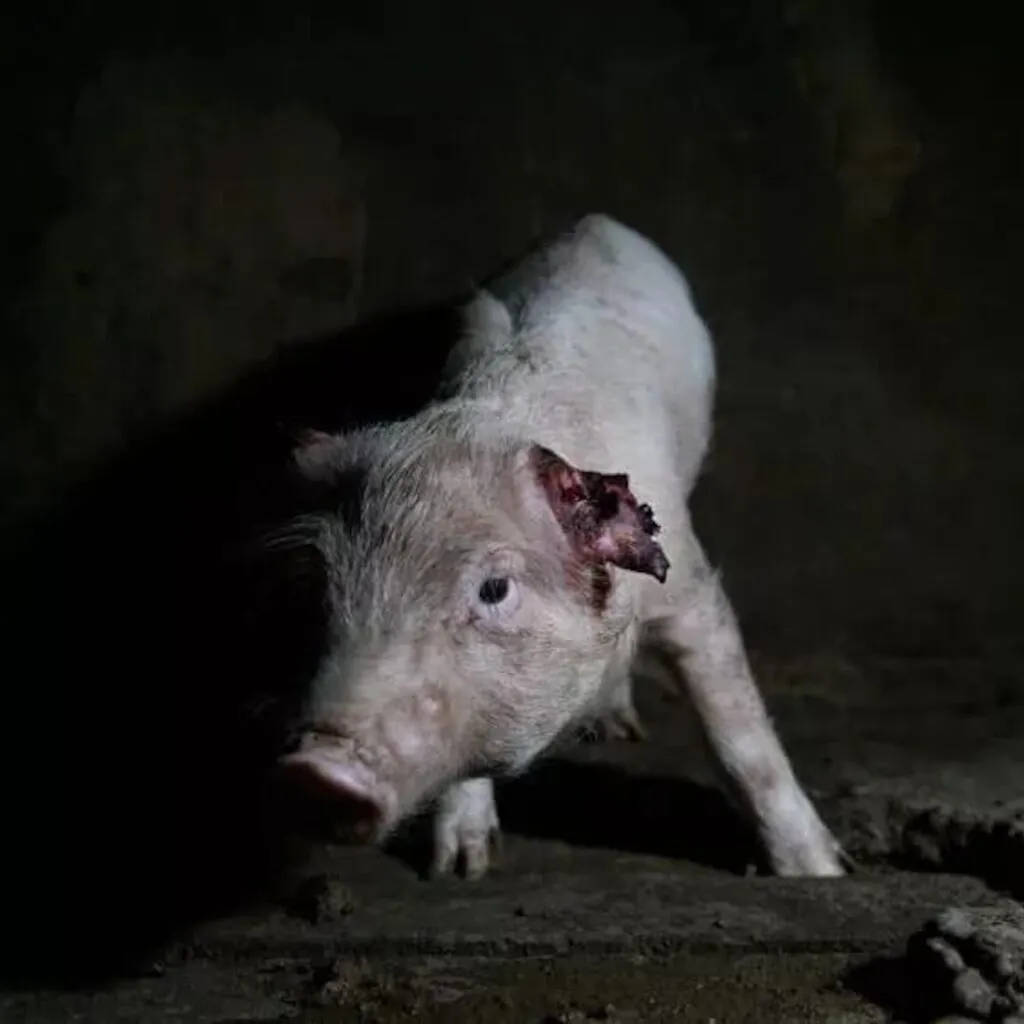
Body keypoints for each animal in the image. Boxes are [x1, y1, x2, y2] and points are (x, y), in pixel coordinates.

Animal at [278, 214, 847, 880]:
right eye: (327, 584)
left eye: (495, 589)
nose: (313, 772)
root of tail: (597, 221)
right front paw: (461, 869)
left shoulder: (688, 585)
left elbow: (740, 731)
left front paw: (821, 873)